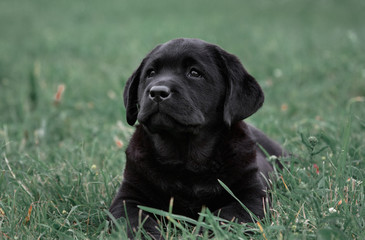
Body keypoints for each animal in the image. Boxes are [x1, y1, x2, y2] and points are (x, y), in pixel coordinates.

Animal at [109, 38, 286, 238]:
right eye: (151, 73)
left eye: (194, 73)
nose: (157, 92)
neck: (186, 159)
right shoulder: (128, 196)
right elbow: (133, 220)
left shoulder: (251, 196)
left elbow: (225, 216)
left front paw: (204, 232)